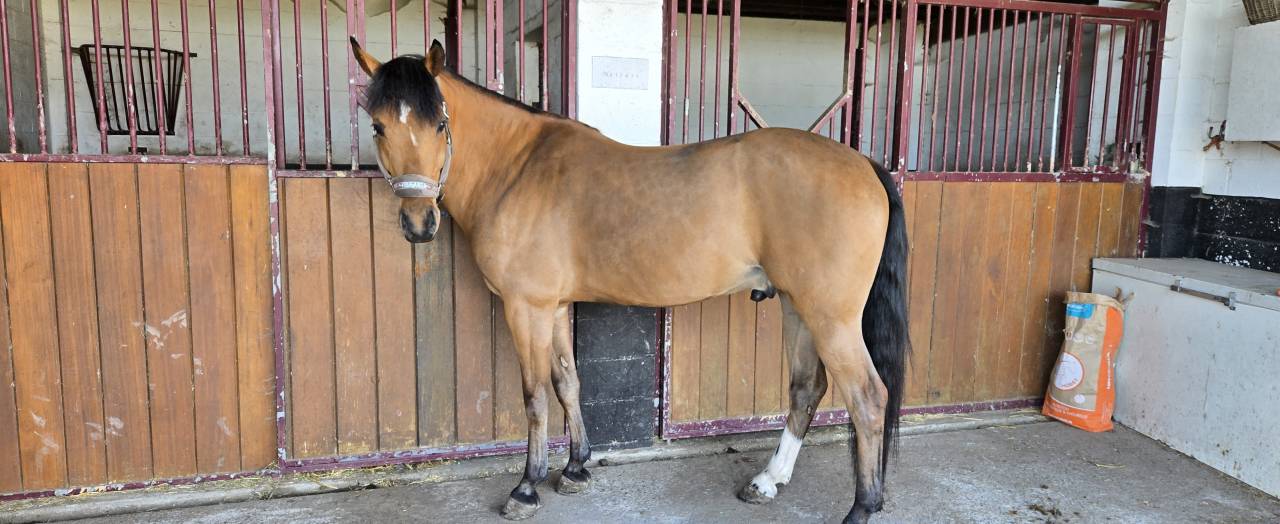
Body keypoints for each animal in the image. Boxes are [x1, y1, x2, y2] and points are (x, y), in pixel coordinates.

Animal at [349, 38, 909, 524]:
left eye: (440, 123)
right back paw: (768, 481)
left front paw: (527, 487)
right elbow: (567, 382)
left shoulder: (526, 306)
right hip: (797, 306)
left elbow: (534, 396)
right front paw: (575, 468)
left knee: (867, 398)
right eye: (378, 126)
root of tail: (864, 164)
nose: (419, 224)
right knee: (807, 388)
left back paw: (862, 507)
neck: (518, 168)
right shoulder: (553, 306)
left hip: (830, 316)